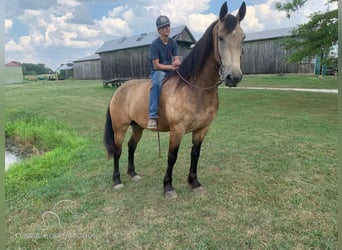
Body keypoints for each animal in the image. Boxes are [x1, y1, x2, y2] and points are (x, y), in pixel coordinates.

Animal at [104, 0, 246, 198]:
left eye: (243, 38)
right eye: (220, 38)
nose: (234, 77)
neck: (195, 89)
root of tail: (119, 90)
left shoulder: (202, 129)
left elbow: (195, 154)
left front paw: (194, 183)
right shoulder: (177, 130)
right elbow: (172, 157)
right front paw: (168, 187)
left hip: (137, 126)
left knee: (132, 146)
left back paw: (133, 174)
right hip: (120, 128)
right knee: (117, 151)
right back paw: (117, 180)